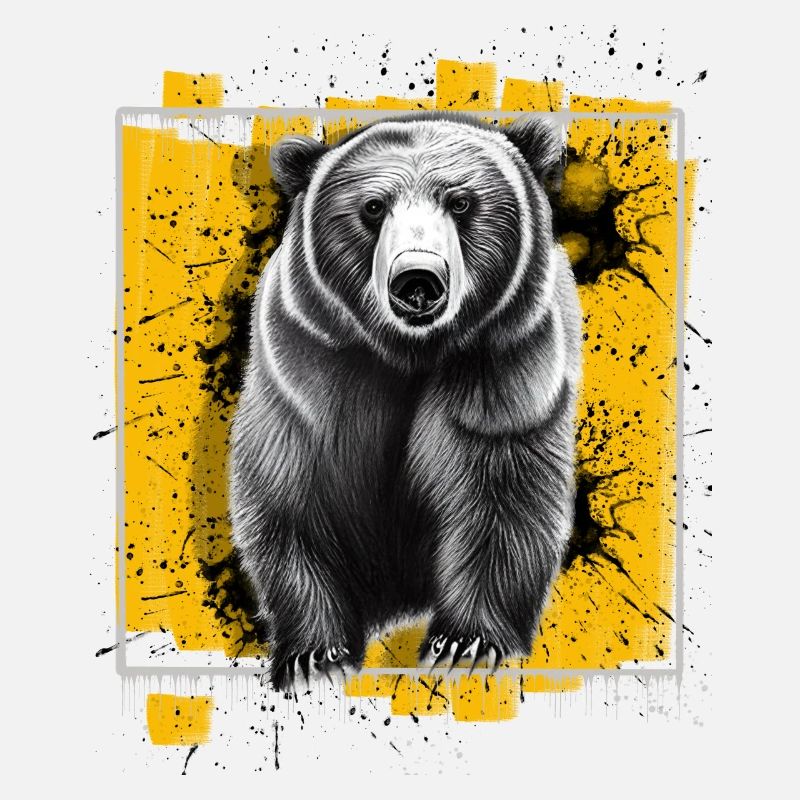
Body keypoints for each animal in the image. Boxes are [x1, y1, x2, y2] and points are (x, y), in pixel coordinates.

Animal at [229, 111, 582, 690]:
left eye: (460, 201)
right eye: (374, 207)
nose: (418, 278)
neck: (410, 354)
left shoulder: (505, 372)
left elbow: (502, 500)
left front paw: (464, 644)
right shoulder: (305, 374)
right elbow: (292, 502)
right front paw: (314, 656)